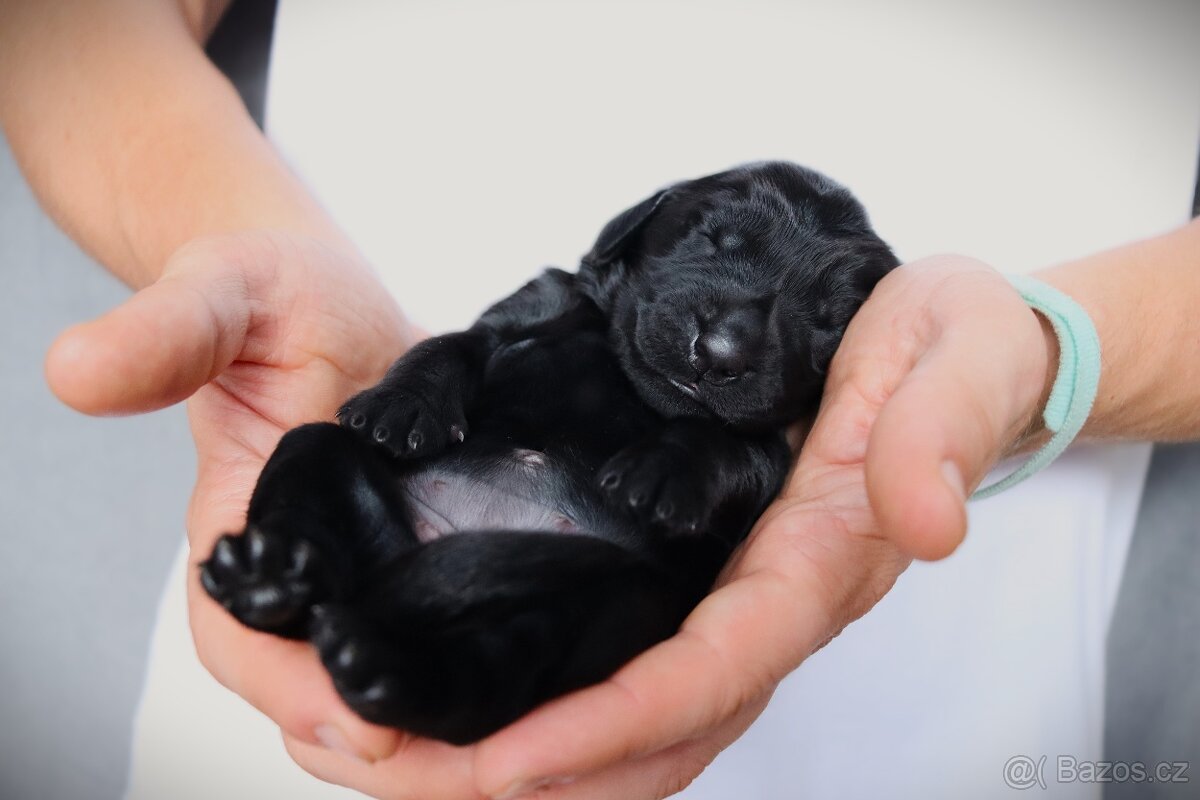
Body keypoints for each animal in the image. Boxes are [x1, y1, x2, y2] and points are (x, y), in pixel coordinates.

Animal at [199, 160, 892, 743]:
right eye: (710, 238)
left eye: (830, 320)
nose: (721, 351)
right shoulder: (527, 312)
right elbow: (451, 346)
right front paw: (402, 406)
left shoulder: (766, 452)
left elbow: (717, 442)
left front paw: (661, 472)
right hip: (319, 458)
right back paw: (267, 578)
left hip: (610, 598)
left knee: (497, 665)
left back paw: (388, 671)